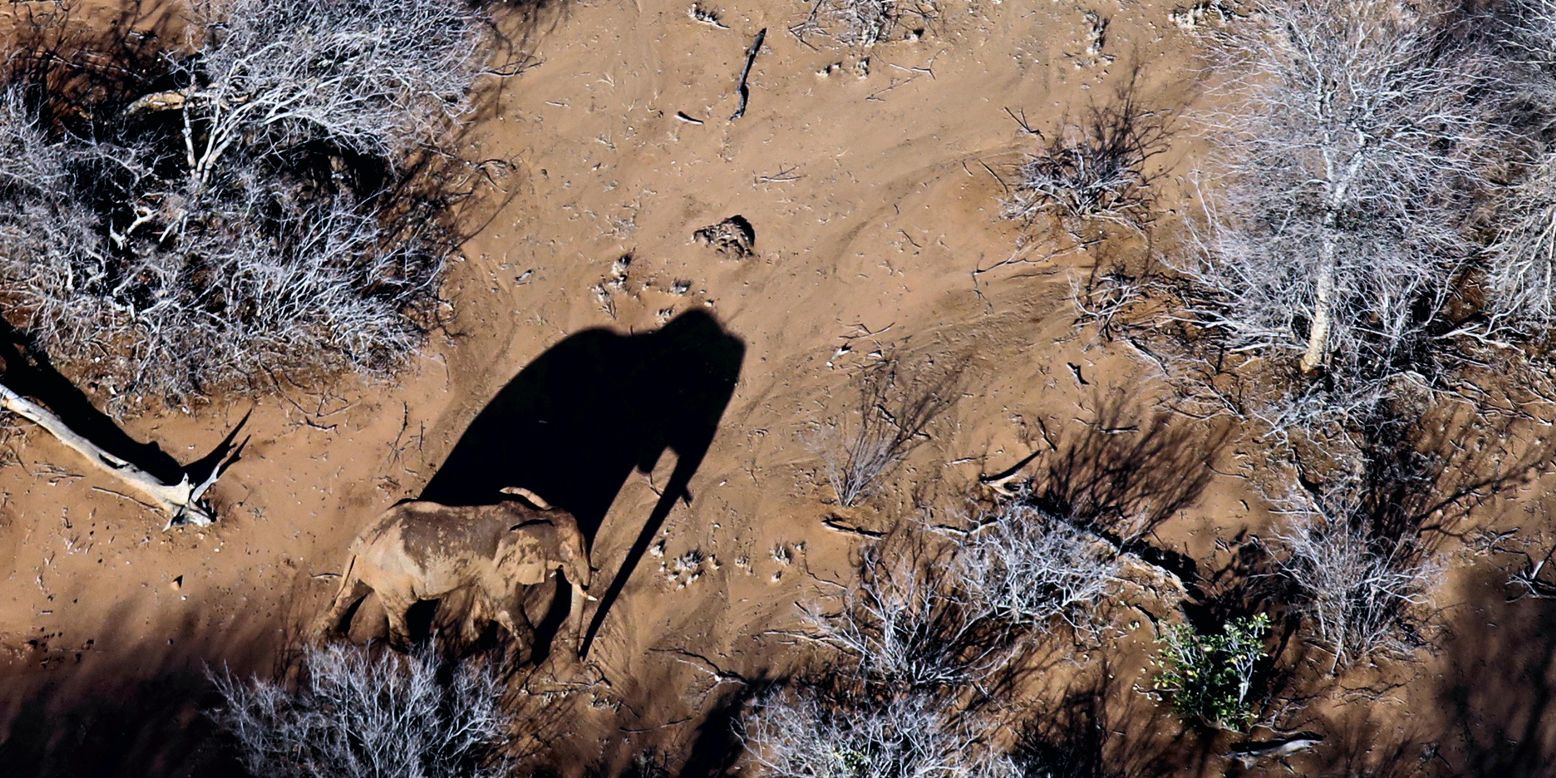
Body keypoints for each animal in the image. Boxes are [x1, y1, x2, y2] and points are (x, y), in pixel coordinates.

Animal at [315, 488, 593, 657]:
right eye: (571, 552)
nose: (576, 656)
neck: (537, 517)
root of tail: (362, 539)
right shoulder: (499, 568)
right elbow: (504, 607)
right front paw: (527, 662)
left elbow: (487, 608)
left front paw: (467, 651)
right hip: (393, 578)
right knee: (400, 609)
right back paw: (410, 656)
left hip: (367, 569)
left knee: (350, 593)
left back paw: (328, 640)